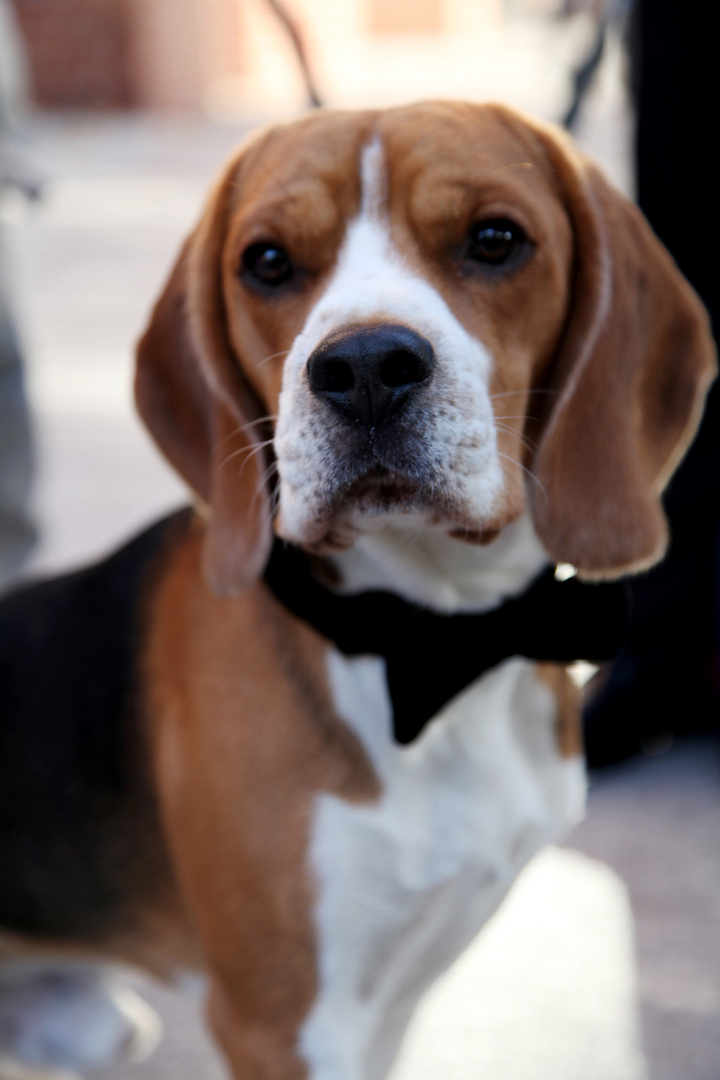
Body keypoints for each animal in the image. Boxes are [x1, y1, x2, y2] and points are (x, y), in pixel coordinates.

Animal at [0, 103, 716, 1080]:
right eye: (266, 260)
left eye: (496, 240)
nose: (368, 365)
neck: (436, 640)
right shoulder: (285, 1024)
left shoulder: (390, 1001)